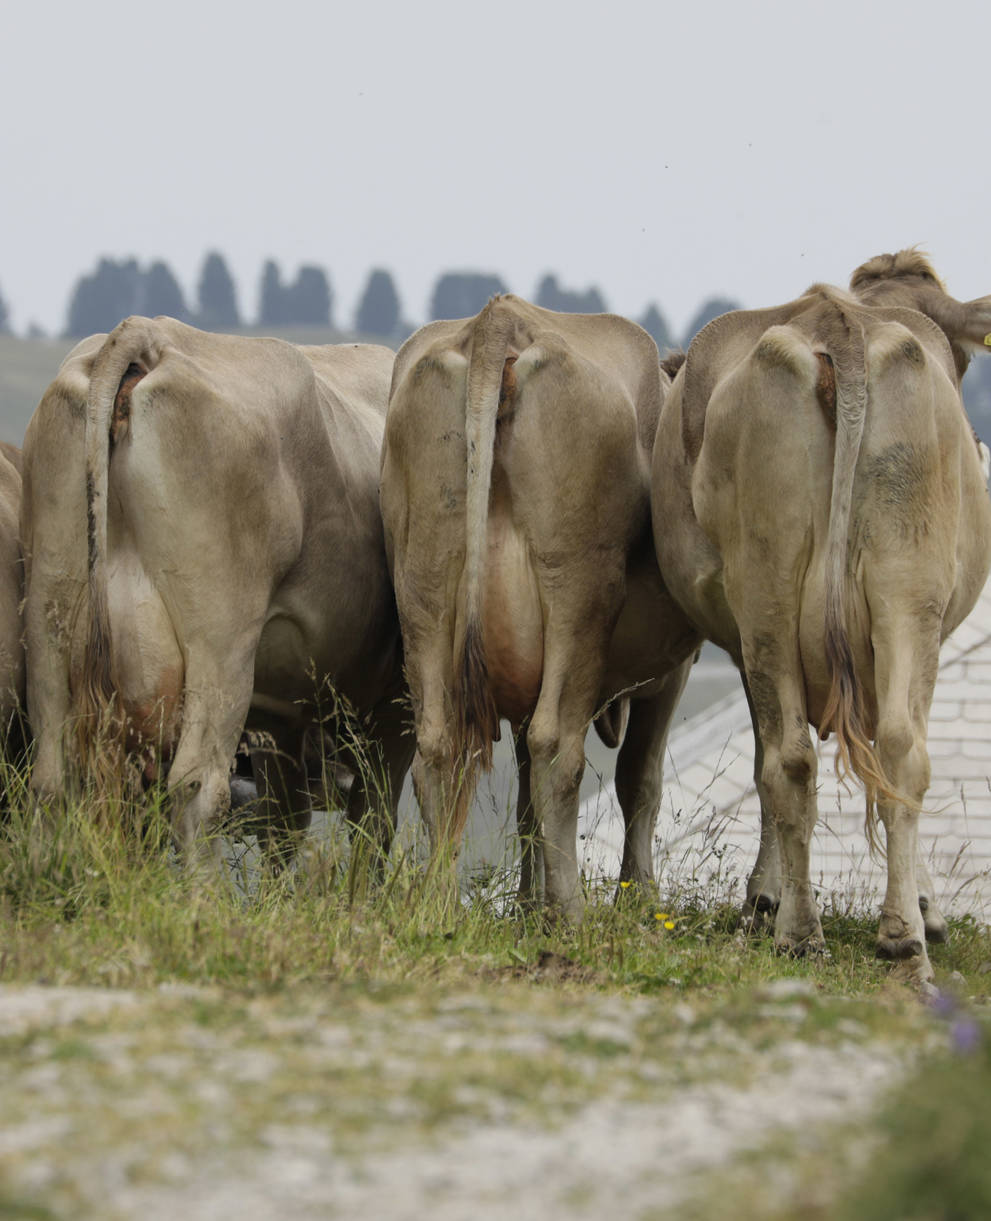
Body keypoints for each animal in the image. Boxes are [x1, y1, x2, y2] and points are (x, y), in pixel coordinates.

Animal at [23, 315, 412, 869]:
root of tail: (149, 334)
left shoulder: (280, 714)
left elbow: (284, 825)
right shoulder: (395, 707)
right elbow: (372, 823)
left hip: (50, 620)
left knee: (53, 782)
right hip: (219, 645)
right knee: (197, 788)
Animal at [378, 295, 698, 918]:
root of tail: (502, 318)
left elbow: (525, 798)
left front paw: (528, 904)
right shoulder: (669, 675)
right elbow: (640, 781)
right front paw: (637, 898)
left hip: (424, 583)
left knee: (439, 751)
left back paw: (440, 905)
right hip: (576, 589)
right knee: (557, 748)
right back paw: (571, 913)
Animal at [649, 250, 991, 981]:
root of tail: (840, 325)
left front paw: (765, 897)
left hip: (788, 596)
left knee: (823, 756)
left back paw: (821, 932)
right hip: (889, 594)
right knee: (873, 753)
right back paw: (873, 934)